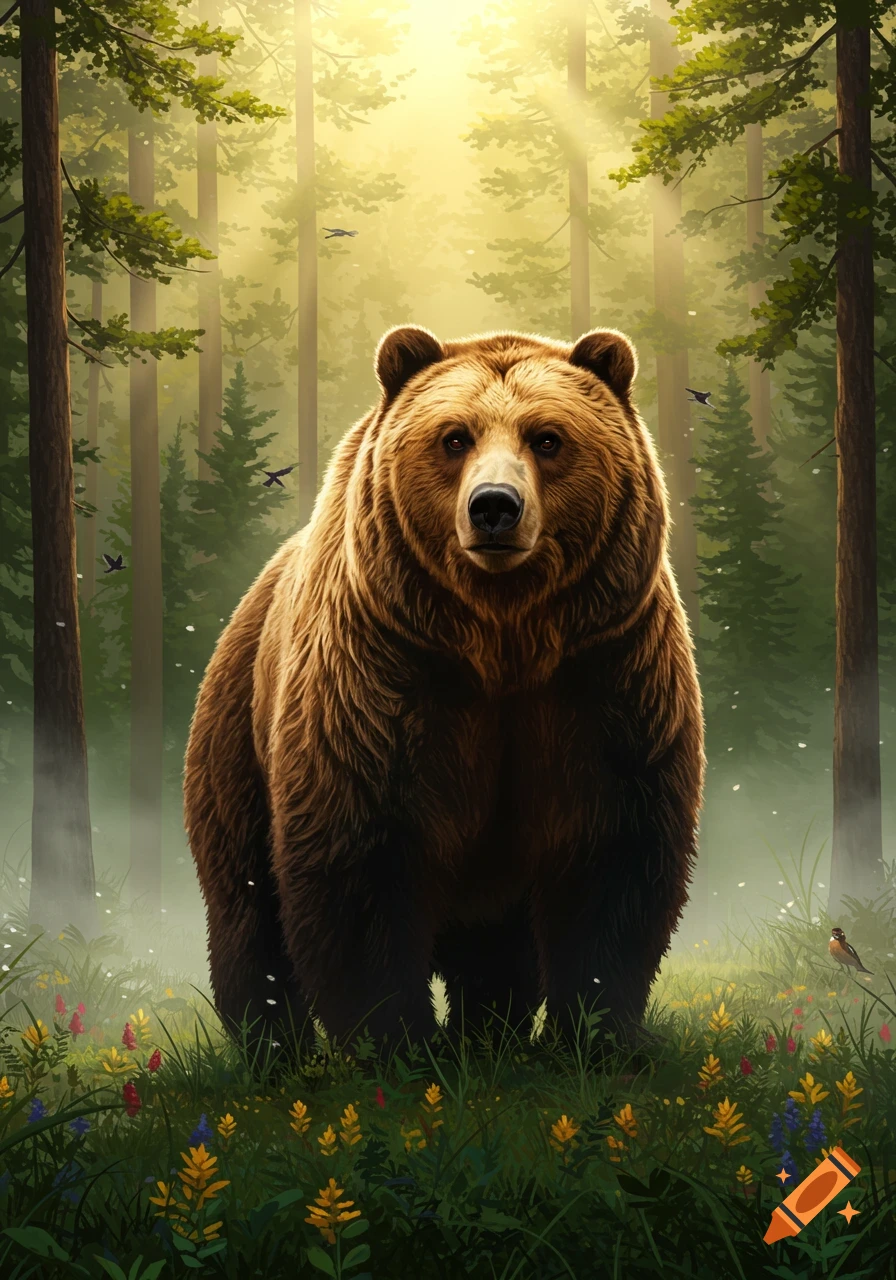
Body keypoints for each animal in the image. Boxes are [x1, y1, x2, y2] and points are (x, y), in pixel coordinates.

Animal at [183, 324, 705, 1060]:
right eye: (454, 437)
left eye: (548, 437)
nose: (494, 507)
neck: (501, 641)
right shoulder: (380, 680)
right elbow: (360, 863)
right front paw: (395, 1041)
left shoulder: (608, 676)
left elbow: (615, 858)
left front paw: (593, 1036)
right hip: (236, 739)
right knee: (246, 909)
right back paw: (275, 1049)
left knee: (494, 950)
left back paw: (489, 1034)